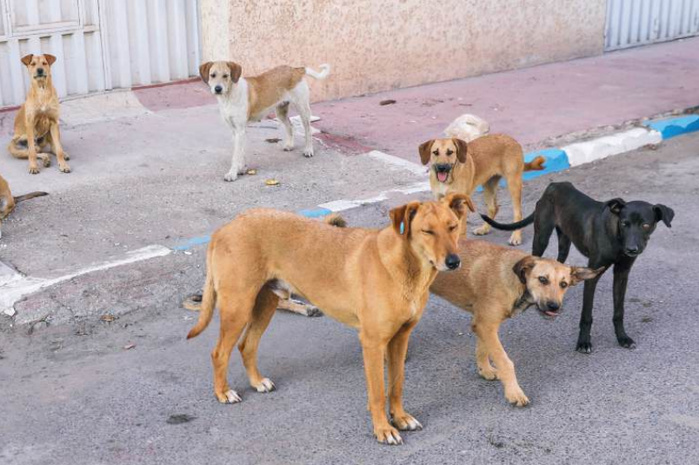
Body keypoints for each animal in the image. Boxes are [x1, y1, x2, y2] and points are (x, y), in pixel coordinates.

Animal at [185, 193, 476, 446]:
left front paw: (400, 417)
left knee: (247, 345)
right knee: (219, 352)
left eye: (452, 227)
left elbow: (396, 385)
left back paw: (257, 381)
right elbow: (378, 392)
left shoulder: (400, 338)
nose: (454, 261)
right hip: (238, 307)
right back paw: (223, 392)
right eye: (427, 231)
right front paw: (383, 429)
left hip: (265, 303)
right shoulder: (372, 343)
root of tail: (226, 227)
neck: (405, 267)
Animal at [200, 62, 330, 182]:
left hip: (302, 108)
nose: (218, 89)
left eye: (226, 75)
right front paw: (242, 168)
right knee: (290, 126)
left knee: (308, 130)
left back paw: (308, 150)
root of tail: (295, 69)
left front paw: (232, 173)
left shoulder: (240, 130)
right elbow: (241, 152)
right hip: (281, 112)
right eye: (212, 75)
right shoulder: (235, 131)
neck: (229, 95)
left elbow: (236, 155)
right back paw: (290, 145)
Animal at [432, 239, 600, 406]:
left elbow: (483, 349)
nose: (554, 306)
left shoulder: (483, 324)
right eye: (542, 279)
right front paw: (514, 392)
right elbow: (505, 362)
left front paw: (485, 370)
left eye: (563, 284)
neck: (518, 282)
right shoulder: (485, 325)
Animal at [482, 181, 672, 352]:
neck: (617, 238)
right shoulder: (593, 275)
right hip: (541, 237)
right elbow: (586, 314)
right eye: (624, 223)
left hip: (564, 241)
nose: (631, 249)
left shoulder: (622, 274)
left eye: (645, 225)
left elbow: (619, 311)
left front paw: (623, 338)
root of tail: (553, 186)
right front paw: (583, 342)